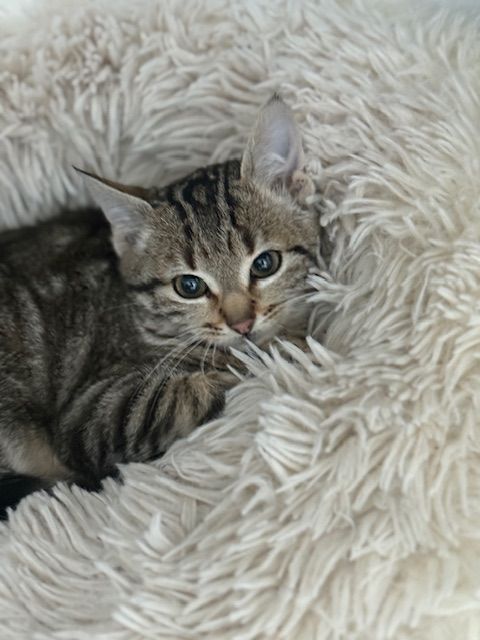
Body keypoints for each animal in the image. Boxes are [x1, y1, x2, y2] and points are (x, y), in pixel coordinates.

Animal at [0, 95, 320, 515]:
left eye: (265, 264)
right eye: (189, 286)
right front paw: (284, 348)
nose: (242, 323)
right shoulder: (89, 412)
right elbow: (195, 389)